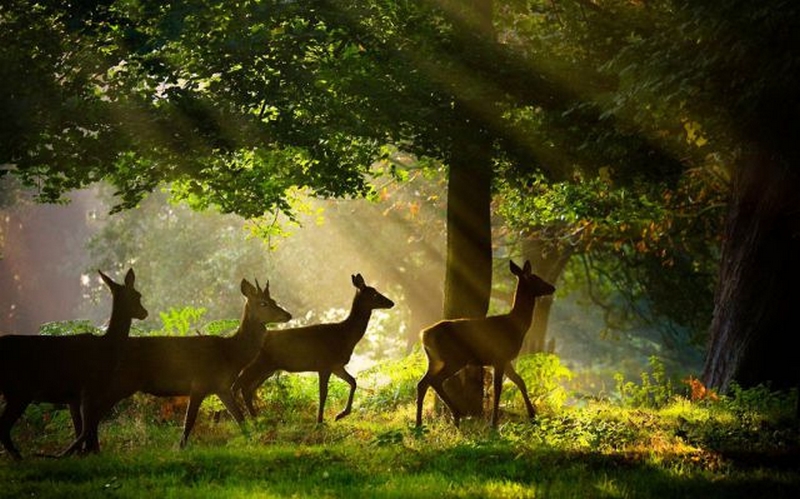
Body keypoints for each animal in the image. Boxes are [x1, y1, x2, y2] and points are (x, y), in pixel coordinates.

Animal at [0, 270, 147, 460]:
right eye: (137, 295)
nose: (145, 313)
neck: (106, 349)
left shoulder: (73, 396)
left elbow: (80, 428)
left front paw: (80, 454)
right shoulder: (90, 388)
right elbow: (89, 426)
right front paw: (93, 453)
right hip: (19, 390)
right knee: (3, 427)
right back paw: (21, 459)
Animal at [60, 280, 290, 456]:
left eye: (274, 300)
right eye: (263, 303)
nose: (287, 314)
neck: (231, 355)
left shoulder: (222, 387)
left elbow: (239, 417)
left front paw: (254, 441)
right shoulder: (199, 383)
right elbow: (189, 421)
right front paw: (179, 448)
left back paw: (89, 451)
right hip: (120, 382)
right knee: (93, 414)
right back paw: (87, 451)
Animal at [231, 276, 394, 424]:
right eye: (374, 294)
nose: (391, 302)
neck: (345, 335)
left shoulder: (336, 365)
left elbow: (353, 382)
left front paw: (341, 414)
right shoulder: (324, 364)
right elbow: (323, 393)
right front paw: (320, 421)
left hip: (267, 370)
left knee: (247, 389)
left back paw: (256, 419)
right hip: (255, 365)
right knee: (238, 386)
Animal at [416, 260, 552, 428]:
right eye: (536, 279)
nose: (552, 287)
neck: (516, 326)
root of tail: (425, 335)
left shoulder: (506, 359)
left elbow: (520, 381)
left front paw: (532, 415)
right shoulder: (499, 356)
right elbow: (498, 388)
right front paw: (494, 424)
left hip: (434, 360)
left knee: (422, 383)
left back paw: (420, 423)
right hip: (454, 358)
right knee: (435, 381)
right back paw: (456, 415)